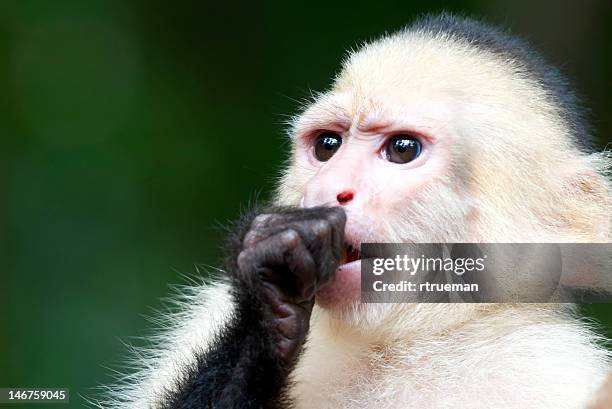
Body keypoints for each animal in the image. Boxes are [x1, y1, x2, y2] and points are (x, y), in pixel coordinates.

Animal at [100, 12, 612, 408]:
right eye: (328, 146)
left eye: (402, 149)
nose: (329, 189)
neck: (395, 347)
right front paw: (270, 293)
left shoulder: (545, 369)